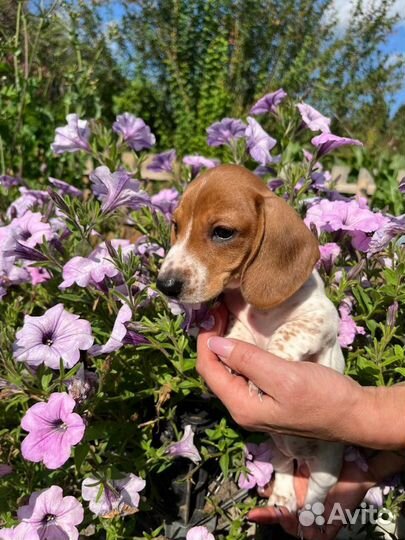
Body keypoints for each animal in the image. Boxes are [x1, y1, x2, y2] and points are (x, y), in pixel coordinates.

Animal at [156, 166, 342, 516]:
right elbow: (237, 334)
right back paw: (282, 498)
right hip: (277, 448)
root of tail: (301, 453)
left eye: (222, 232)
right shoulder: (237, 322)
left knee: (316, 492)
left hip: (327, 467)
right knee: (285, 468)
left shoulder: (322, 318)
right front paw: (234, 357)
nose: (165, 285)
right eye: (176, 225)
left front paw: (260, 374)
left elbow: (286, 334)